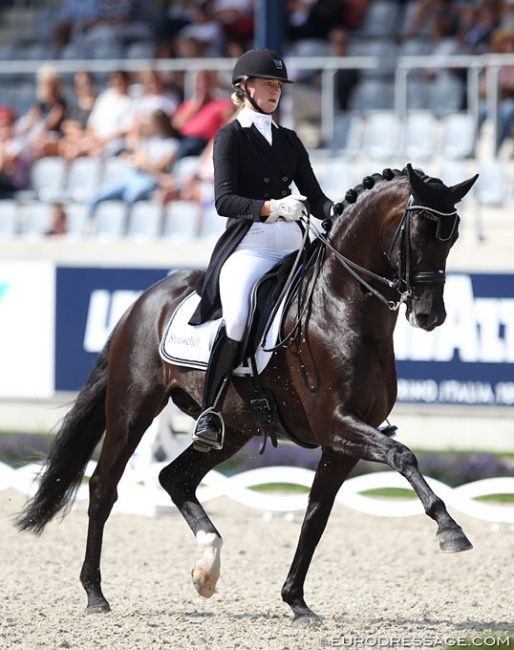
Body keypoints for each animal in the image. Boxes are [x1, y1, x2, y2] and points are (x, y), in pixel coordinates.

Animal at [14, 162, 474, 624]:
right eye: (418, 232)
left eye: (451, 238)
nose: (430, 316)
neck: (341, 308)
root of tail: (144, 300)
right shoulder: (337, 424)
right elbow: (402, 456)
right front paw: (450, 530)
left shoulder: (340, 442)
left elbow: (316, 515)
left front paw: (296, 601)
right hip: (132, 410)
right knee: (103, 488)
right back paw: (95, 593)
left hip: (232, 429)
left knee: (174, 477)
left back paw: (207, 567)